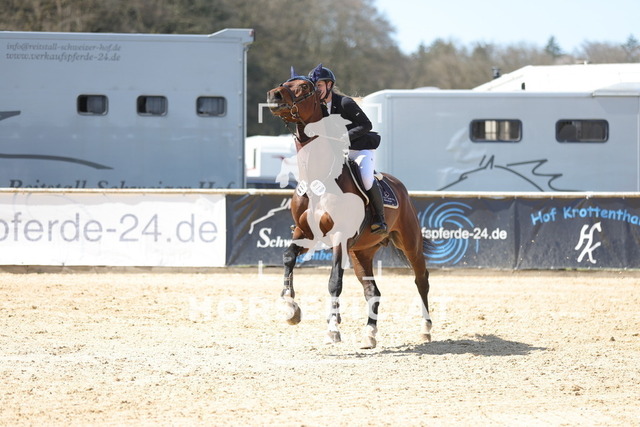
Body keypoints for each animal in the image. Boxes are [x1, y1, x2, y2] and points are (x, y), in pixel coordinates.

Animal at [266, 69, 433, 349]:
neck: (318, 179)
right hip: (361, 253)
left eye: (305, 87)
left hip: (409, 242)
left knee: (421, 279)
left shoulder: (339, 237)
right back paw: (370, 334)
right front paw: (290, 308)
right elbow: (288, 257)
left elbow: (334, 282)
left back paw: (425, 329)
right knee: (372, 291)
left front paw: (333, 329)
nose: (273, 95)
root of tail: (399, 186)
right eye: (284, 82)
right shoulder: (304, 233)